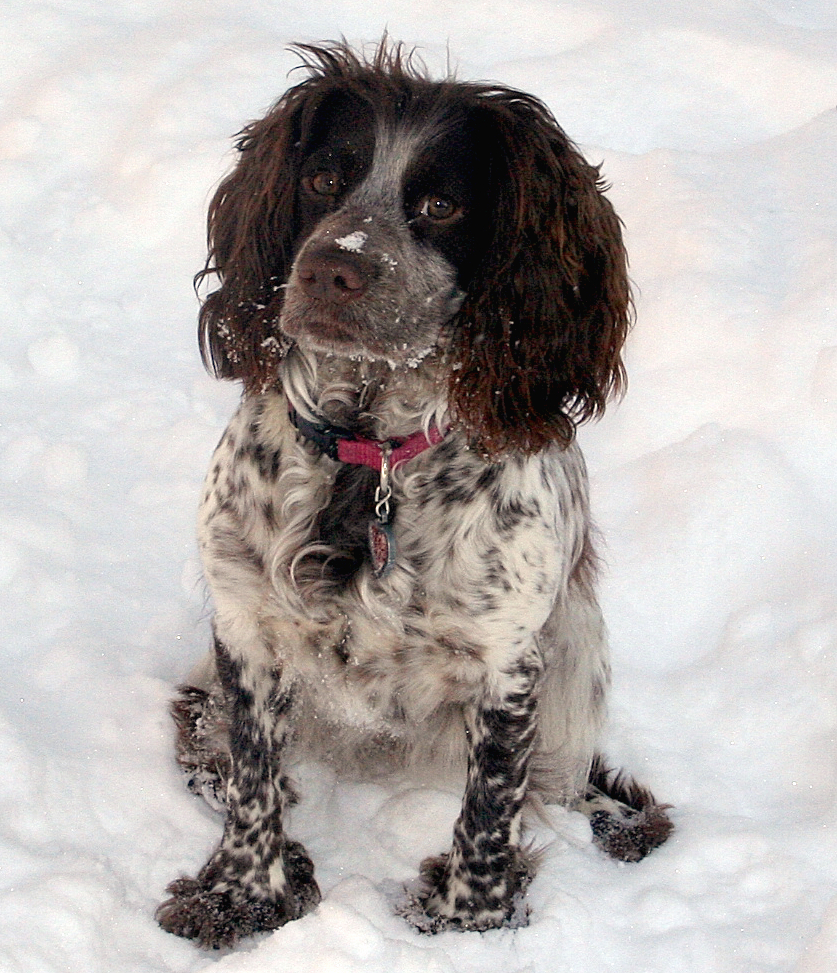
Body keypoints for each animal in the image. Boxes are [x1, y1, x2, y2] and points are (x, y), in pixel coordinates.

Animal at [153, 41, 668, 944]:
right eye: (323, 179)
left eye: (439, 204)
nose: (333, 267)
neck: (371, 454)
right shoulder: (245, 622)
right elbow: (251, 777)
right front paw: (241, 894)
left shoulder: (506, 659)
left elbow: (490, 808)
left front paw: (468, 920)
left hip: (576, 664)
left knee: (557, 791)